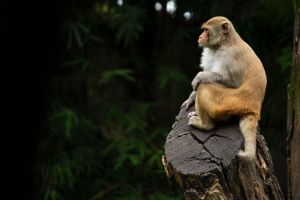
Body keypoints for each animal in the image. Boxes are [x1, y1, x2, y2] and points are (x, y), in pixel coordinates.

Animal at [182, 16, 266, 161]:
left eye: (206, 30)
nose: (200, 37)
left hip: (228, 103)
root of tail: (254, 108)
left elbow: (228, 80)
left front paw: (198, 78)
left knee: (204, 87)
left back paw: (204, 125)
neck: (223, 43)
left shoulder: (229, 55)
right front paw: (191, 98)